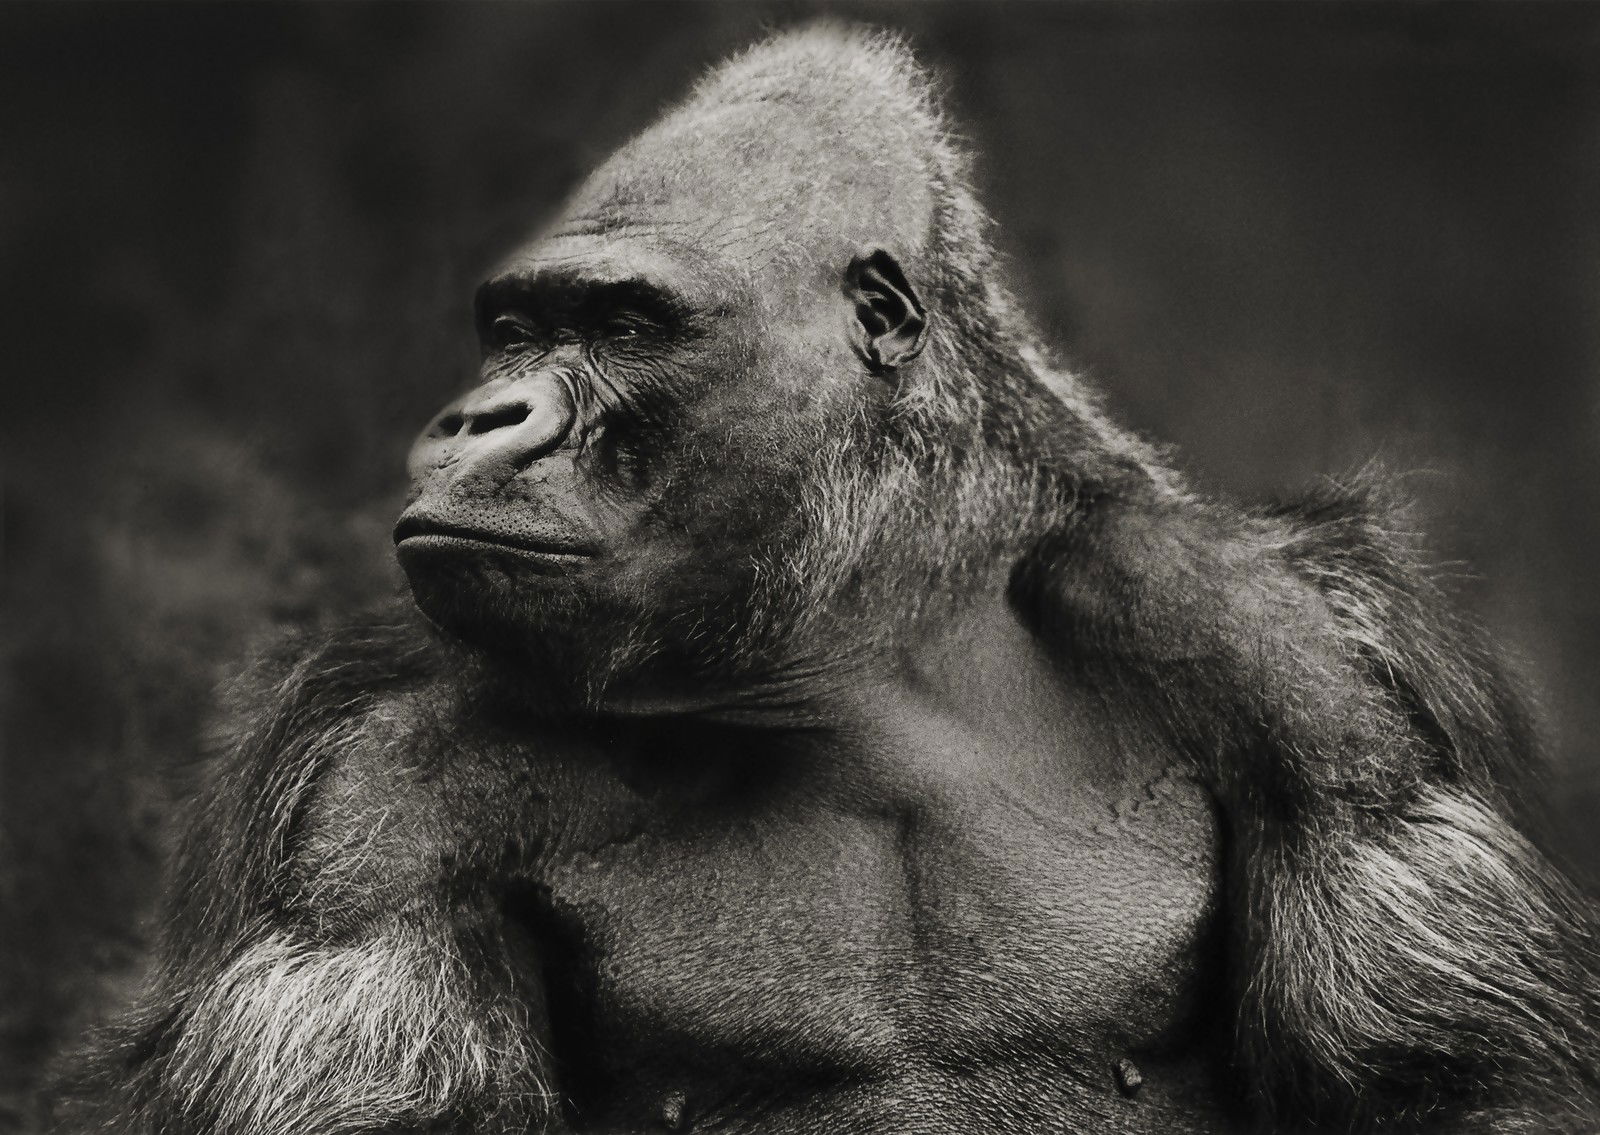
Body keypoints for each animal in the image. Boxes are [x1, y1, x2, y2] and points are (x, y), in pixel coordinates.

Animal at [57, 24, 1599, 1135]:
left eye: (624, 324)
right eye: (510, 330)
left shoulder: (1303, 676)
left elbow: (1456, 1091)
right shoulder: (368, 813)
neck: (858, 650)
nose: (482, 417)